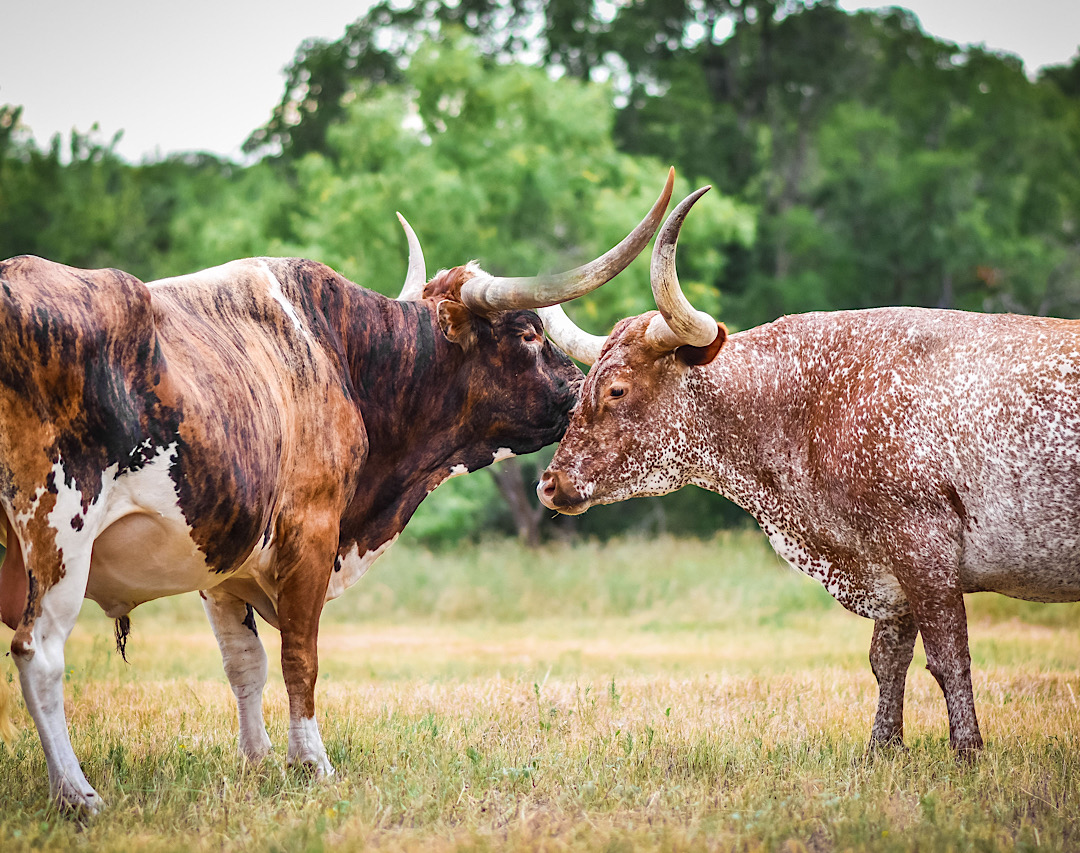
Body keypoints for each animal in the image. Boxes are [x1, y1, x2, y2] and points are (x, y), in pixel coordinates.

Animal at [0, 170, 674, 813]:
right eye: (530, 333)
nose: (581, 392)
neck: (344, 357)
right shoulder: (310, 532)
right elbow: (301, 657)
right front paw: (311, 763)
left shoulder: (222, 560)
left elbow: (245, 663)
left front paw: (257, 762)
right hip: (59, 531)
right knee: (39, 654)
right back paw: (78, 795)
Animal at [538, 186, 1080, 756]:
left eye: (617, 389)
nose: (549, 484)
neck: (814, 401)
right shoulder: (888, 569)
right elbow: (888, 660)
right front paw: (882, 750)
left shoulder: (924, 550)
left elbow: (948, 657)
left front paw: (967, 752)